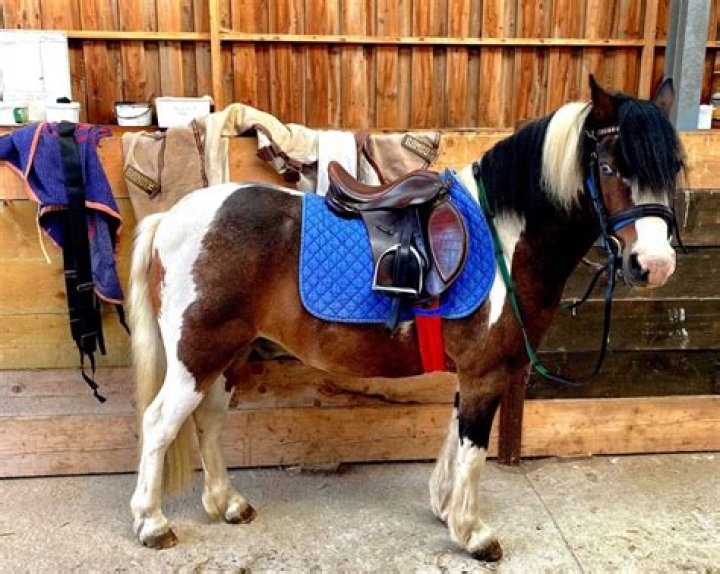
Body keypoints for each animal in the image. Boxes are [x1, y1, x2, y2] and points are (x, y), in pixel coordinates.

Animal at [128, 76, 684, 561]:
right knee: (158, 423)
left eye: (674, 167)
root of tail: (170, 218)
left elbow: (456, 436)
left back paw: (227, 502)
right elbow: (474, 449)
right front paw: (473, 532)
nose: (654, 265)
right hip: (197, 355)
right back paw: (152, 523)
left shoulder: (474, 373)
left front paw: (444, 508)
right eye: (609, 168)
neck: (504, 239)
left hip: (229, 354)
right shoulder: (486, 372)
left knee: (207, 420)